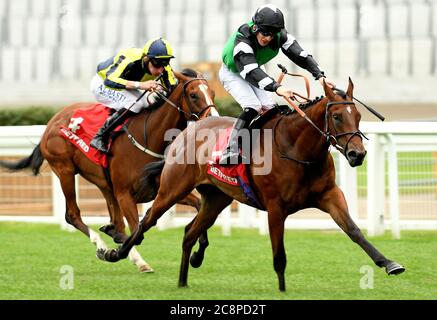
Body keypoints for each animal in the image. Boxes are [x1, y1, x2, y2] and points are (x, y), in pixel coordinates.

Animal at [0, 69, 217, 272]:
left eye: (213, 93)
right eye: (193, 95)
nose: (213, 119)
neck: (148, 137)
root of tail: (51, 122)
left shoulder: (160, 190)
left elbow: (199, 205)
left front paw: (197, 255)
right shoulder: (125, 194)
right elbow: (137, 230)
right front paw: (114, 246)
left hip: (104, 185)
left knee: (116, 219)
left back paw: (130, 252)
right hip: (64, 170)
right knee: (73, 215)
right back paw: (103, 245)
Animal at [99, 77, 406, 290]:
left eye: (358, 116)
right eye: (337, 116)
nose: (357, 154)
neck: (297, 148)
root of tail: (186, 133)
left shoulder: (329, 195)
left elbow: (354, 230)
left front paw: (389, 263)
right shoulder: (275, 207)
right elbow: (279, 254)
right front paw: (282, 290)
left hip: (217, 198)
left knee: (188, 232)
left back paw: (183, 280)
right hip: (172, 189)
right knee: (146, 220)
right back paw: (115, 253)